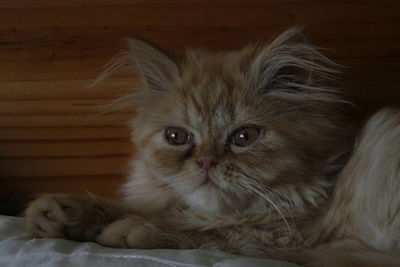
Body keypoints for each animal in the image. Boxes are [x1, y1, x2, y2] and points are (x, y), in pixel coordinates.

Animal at [24, 28, 400, 266]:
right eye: (177, 137)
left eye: (244, 137)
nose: (206, 162)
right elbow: (149, 207)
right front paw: (63, 213)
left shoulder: (291, 235)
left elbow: (211, 230)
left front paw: (132, 229)